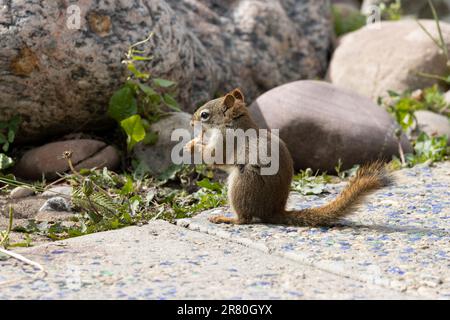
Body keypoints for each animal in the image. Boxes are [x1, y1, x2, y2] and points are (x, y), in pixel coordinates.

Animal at [185, 89, 392, 226]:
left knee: (245, 219)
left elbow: (213, 158)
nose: (191, 121)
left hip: (242, 183)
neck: (234, 124)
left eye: (204, 115)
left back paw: (225, 218)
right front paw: (193, 141)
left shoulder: (226, 141)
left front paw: (192, 145)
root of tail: (273, 211)